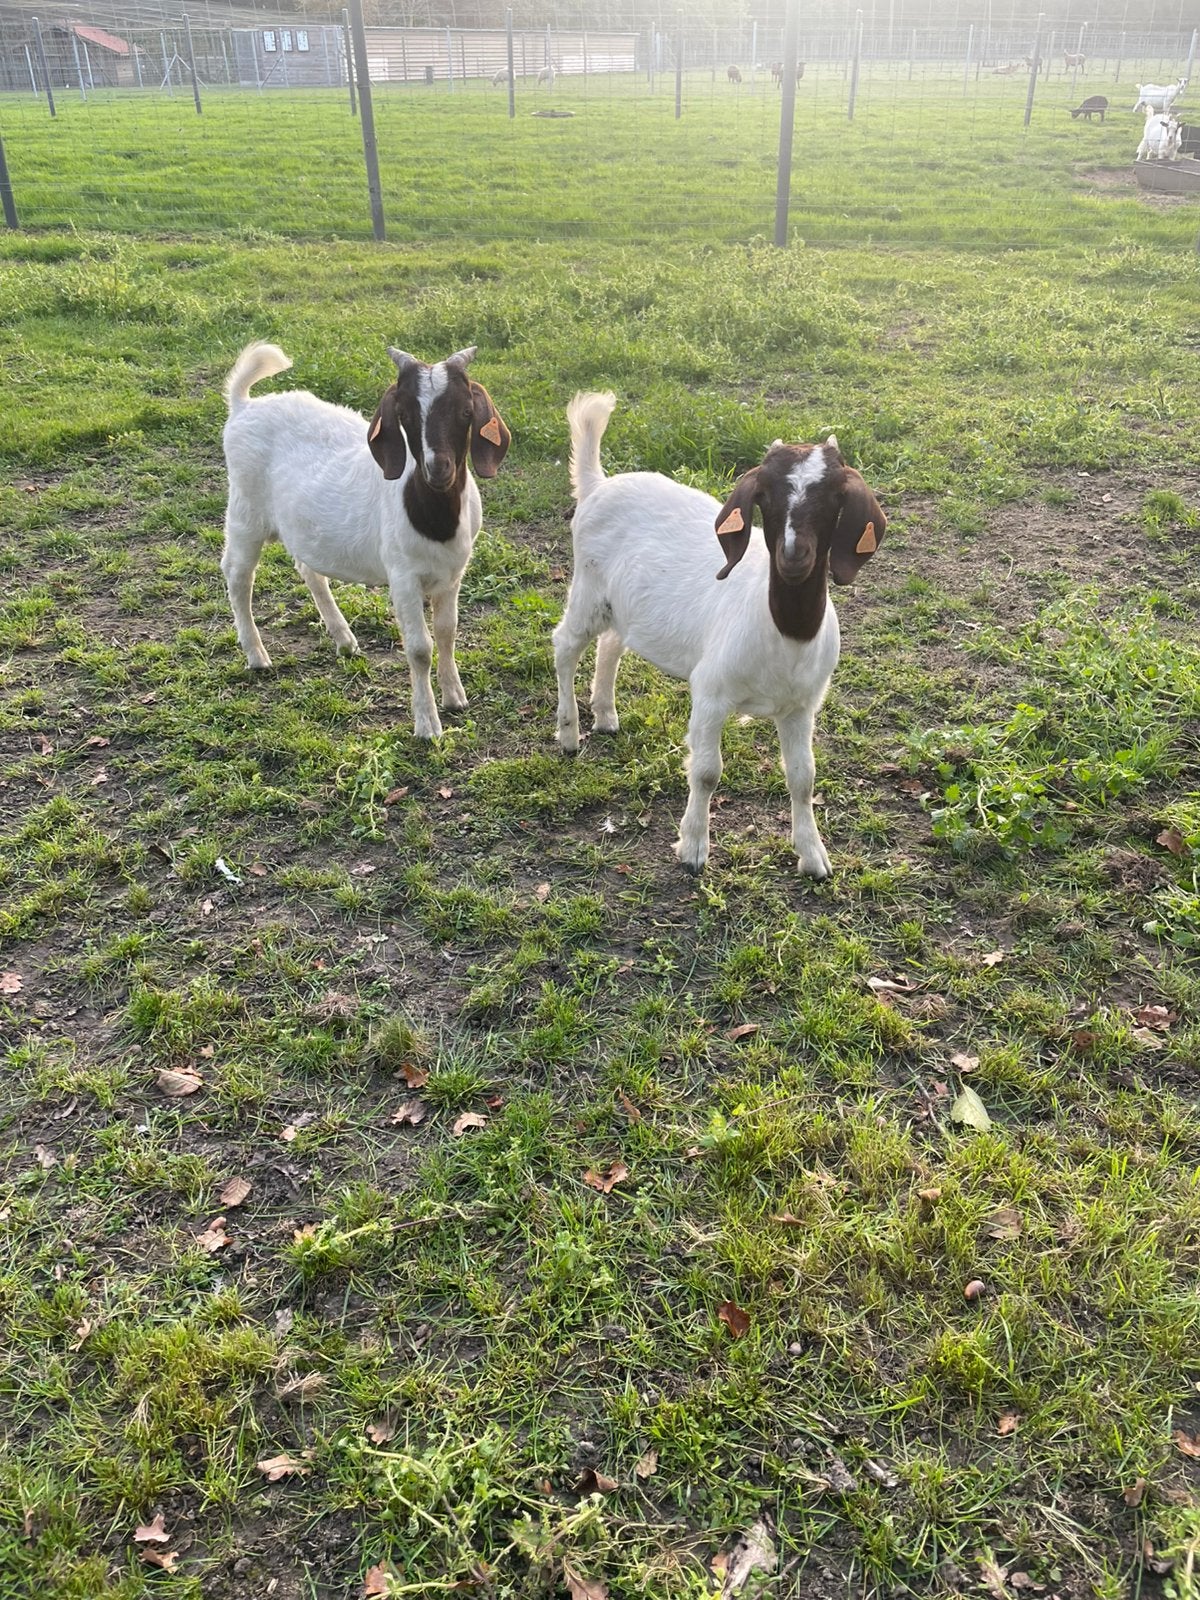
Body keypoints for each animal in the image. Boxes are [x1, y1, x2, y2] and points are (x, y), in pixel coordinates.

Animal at [220, 343, 510, 740]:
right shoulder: (403, 576)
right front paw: (428, 725)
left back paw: (344, 639)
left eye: (466, 411)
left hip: (304, 526)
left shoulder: (453, 575)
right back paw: (257, 655)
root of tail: (244, 406)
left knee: (308, 568)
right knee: (237, 576)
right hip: (245, 511)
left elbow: (447, 632)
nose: (438, 469)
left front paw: (455, 697)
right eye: (403, 414)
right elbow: (420, 648)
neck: (435, 519)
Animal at [553, 394, 886, 878]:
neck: (784, 633)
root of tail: (598, 484)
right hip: (588, 591)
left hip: (623, 606)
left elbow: (803, 778)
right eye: (765, 495)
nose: (793, 556)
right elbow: (707, 771)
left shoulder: (801, 706)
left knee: (611, 644)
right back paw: (568, 733)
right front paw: (693, 849)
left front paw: (812, 855)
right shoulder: (710, 692)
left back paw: (606, 715)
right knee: (565, 644)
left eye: (834, 497)